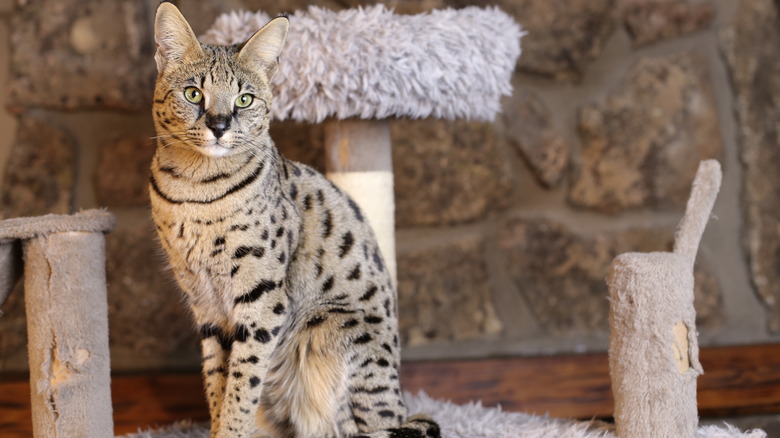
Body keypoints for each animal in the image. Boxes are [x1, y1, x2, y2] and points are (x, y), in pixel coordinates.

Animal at [147, 3, 438, 438]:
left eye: (244, 99)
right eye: (193, 94)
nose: (219, 125)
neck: (195, 189)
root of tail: (401, 404)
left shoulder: (262, 298)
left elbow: (242, 383)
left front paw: (231, 431)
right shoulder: (205, 304)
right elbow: (217, 380)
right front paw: (218, 428)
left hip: (330, 329)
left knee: (359, 426)